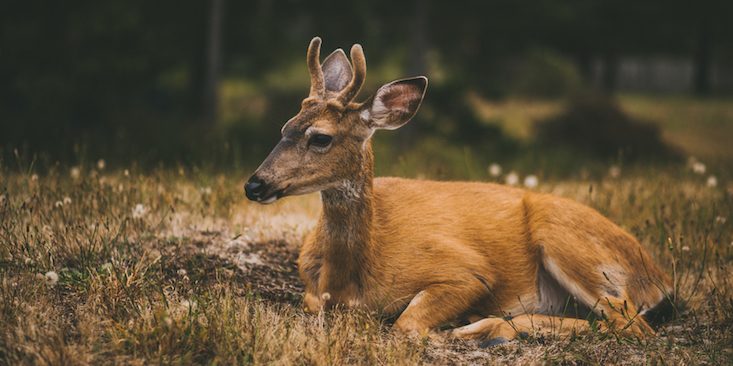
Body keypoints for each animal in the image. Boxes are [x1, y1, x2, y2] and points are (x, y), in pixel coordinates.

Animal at [246, 35, 676, 342]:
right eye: (285, 128)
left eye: (320, 138)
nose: (254, 184)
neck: (347, 282)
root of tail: (660, 278)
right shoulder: (310, 290)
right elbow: (312, 304)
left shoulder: (465, 271)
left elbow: (406, 324)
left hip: (571, 244)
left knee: (632, 325)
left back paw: (486, 328)